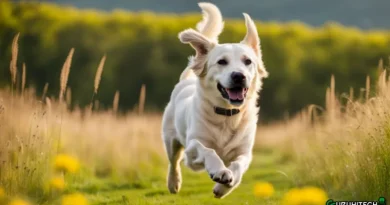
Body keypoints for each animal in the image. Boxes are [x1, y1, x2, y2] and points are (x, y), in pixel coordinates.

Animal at [161, 2, 268, 199]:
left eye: (248, 61)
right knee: (173, 162)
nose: (239, 76)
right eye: (221, 62)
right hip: (170, 140)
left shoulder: (244, 152)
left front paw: (223, 187)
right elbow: (208, 150)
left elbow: (238, 166)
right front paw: (220, 171)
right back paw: (174, 183)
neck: (227, 115)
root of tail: (185, 81)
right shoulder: (192, 149)